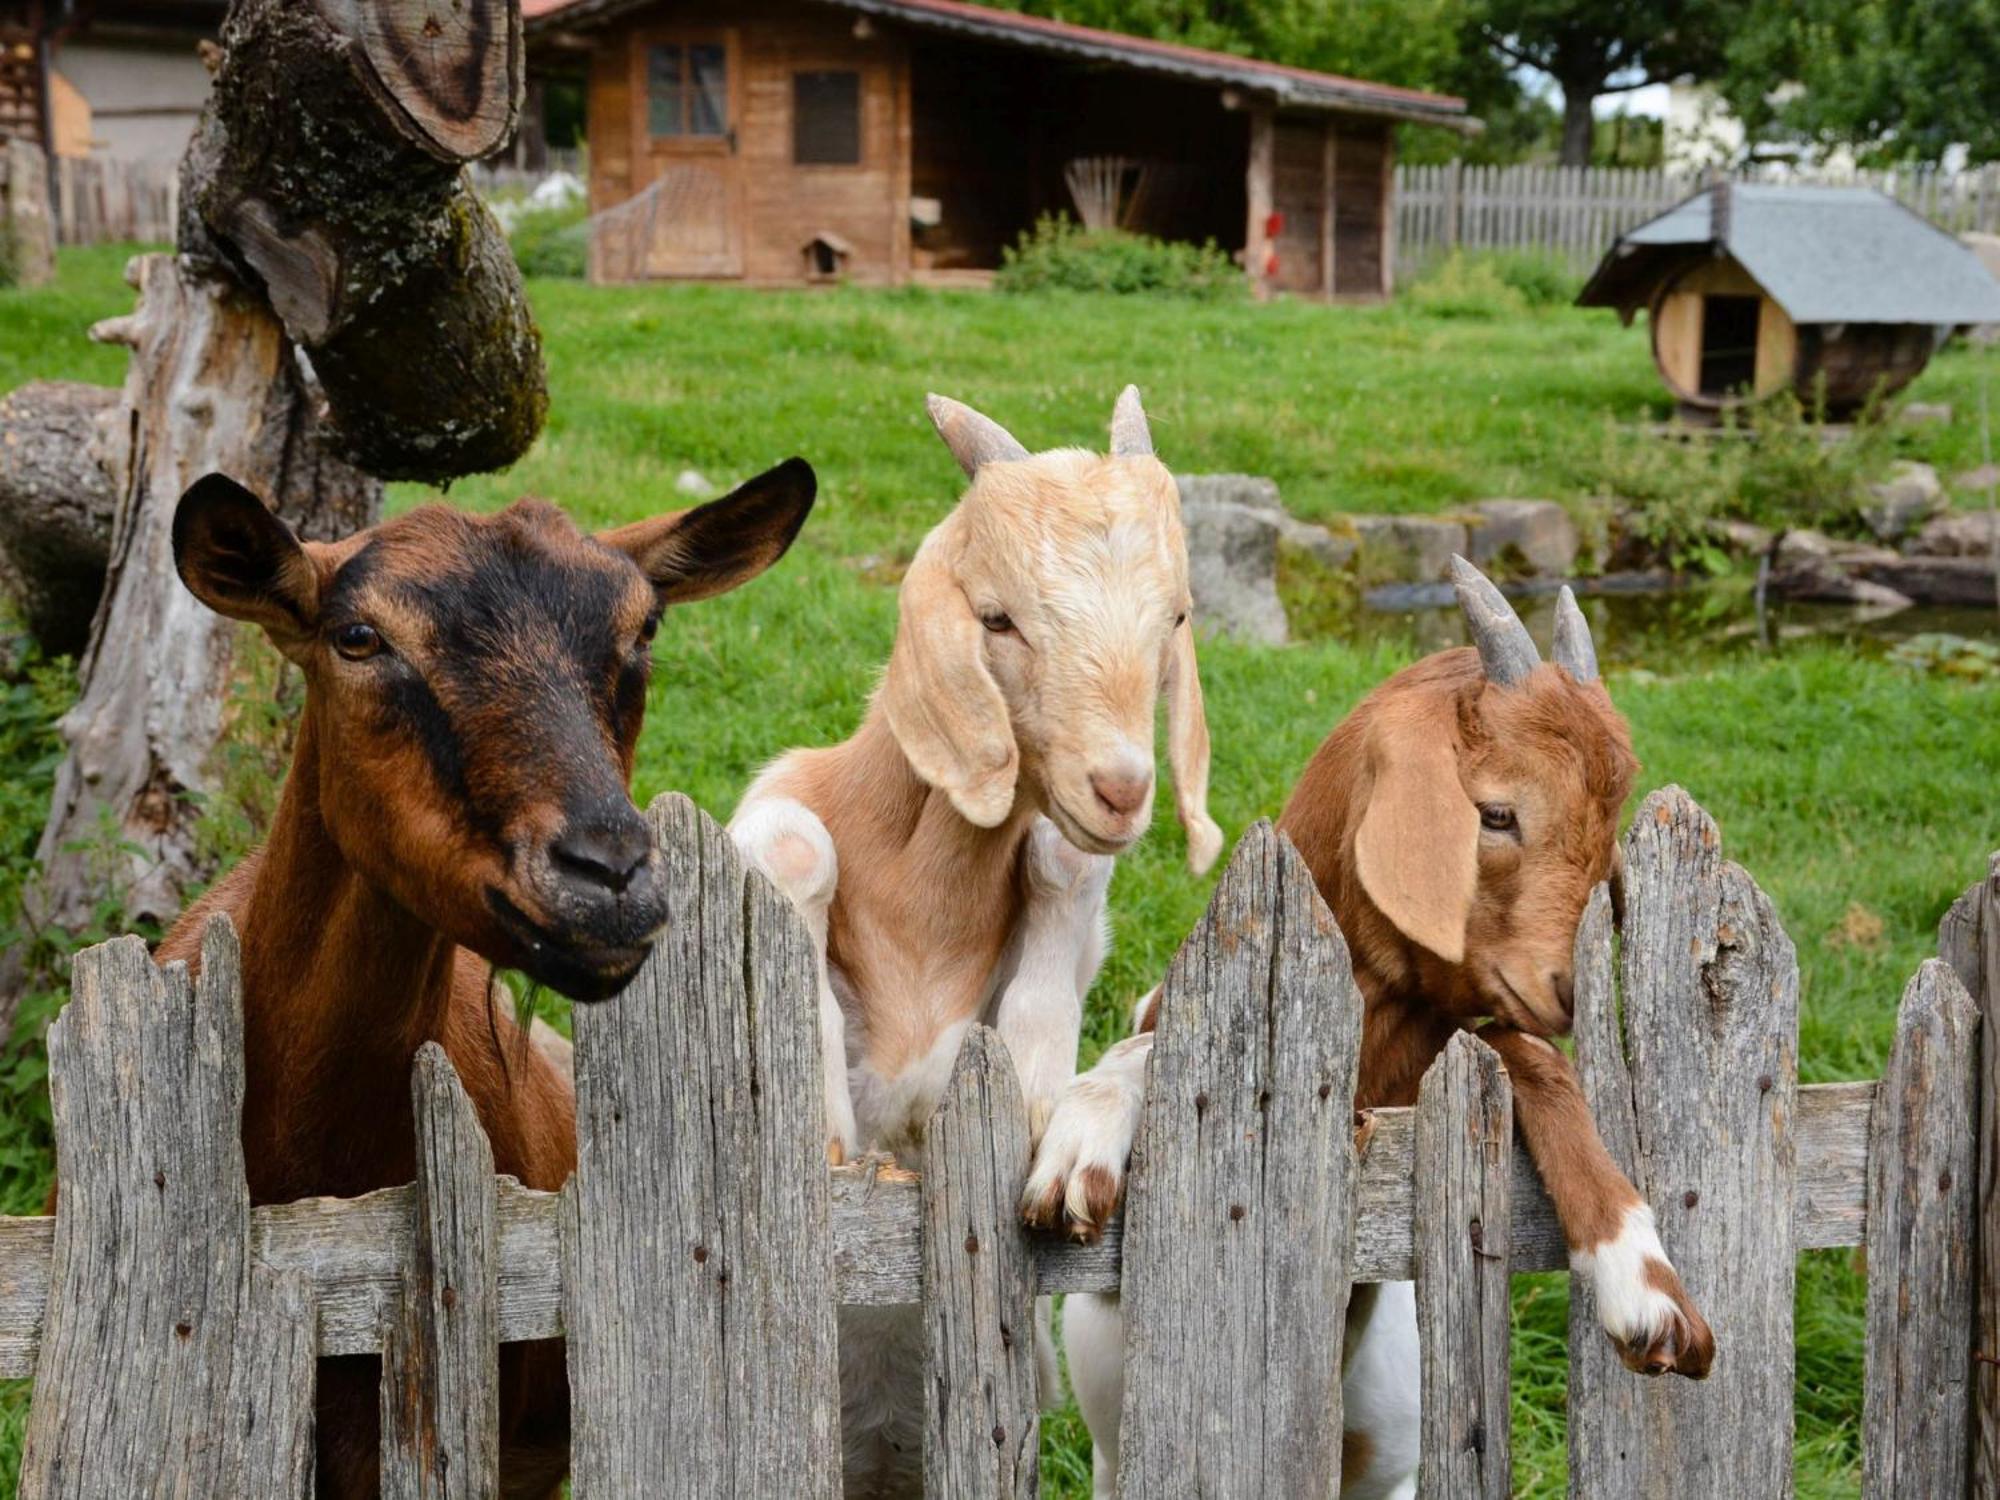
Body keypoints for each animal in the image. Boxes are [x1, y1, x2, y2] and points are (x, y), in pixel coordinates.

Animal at [728, 384, 1208, 1496]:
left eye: (1173, 615)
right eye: (997, 618)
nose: (1119, 788)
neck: (923, 903)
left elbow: (1073, 978)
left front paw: (1078, 1157)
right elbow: (793, 843)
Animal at [1032, 560, 1720, 1500]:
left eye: (1607, 826)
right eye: (1495, 813)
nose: (1571, 988)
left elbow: (1529, 1055)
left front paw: (1649, 1293)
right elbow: (1139, 1051)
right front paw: (1081, 1147)